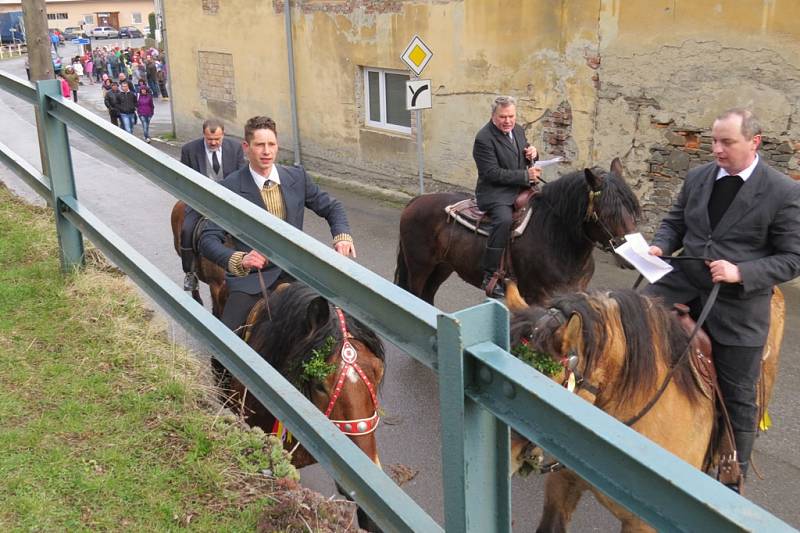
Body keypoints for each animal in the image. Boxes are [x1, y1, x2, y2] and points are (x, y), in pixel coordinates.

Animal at [396, 158, 640, 304]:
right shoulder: (538, 298)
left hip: (442, 267)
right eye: (607, 213)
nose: (632, 256)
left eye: (632, 208)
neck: (557, 241)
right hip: (419, 267)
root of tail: (416, 201)